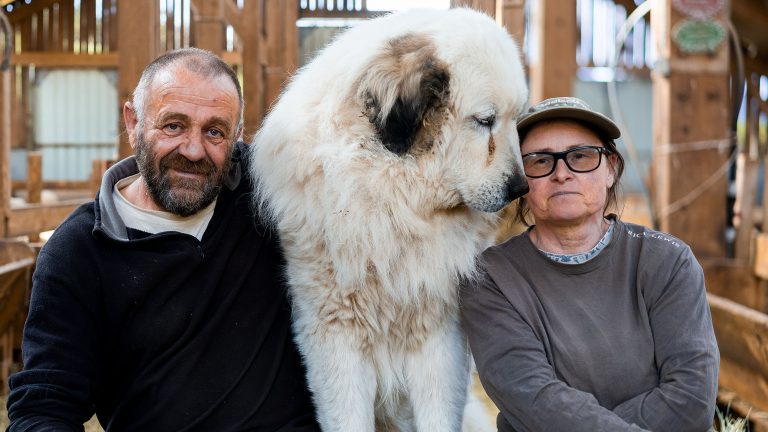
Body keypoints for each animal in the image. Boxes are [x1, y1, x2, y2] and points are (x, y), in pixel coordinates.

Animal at [250, 7, 528, 432]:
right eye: (485, 121)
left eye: (517, 120)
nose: (520, 188)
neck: (393, 200)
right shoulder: (335, 337)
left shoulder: (440, 336)